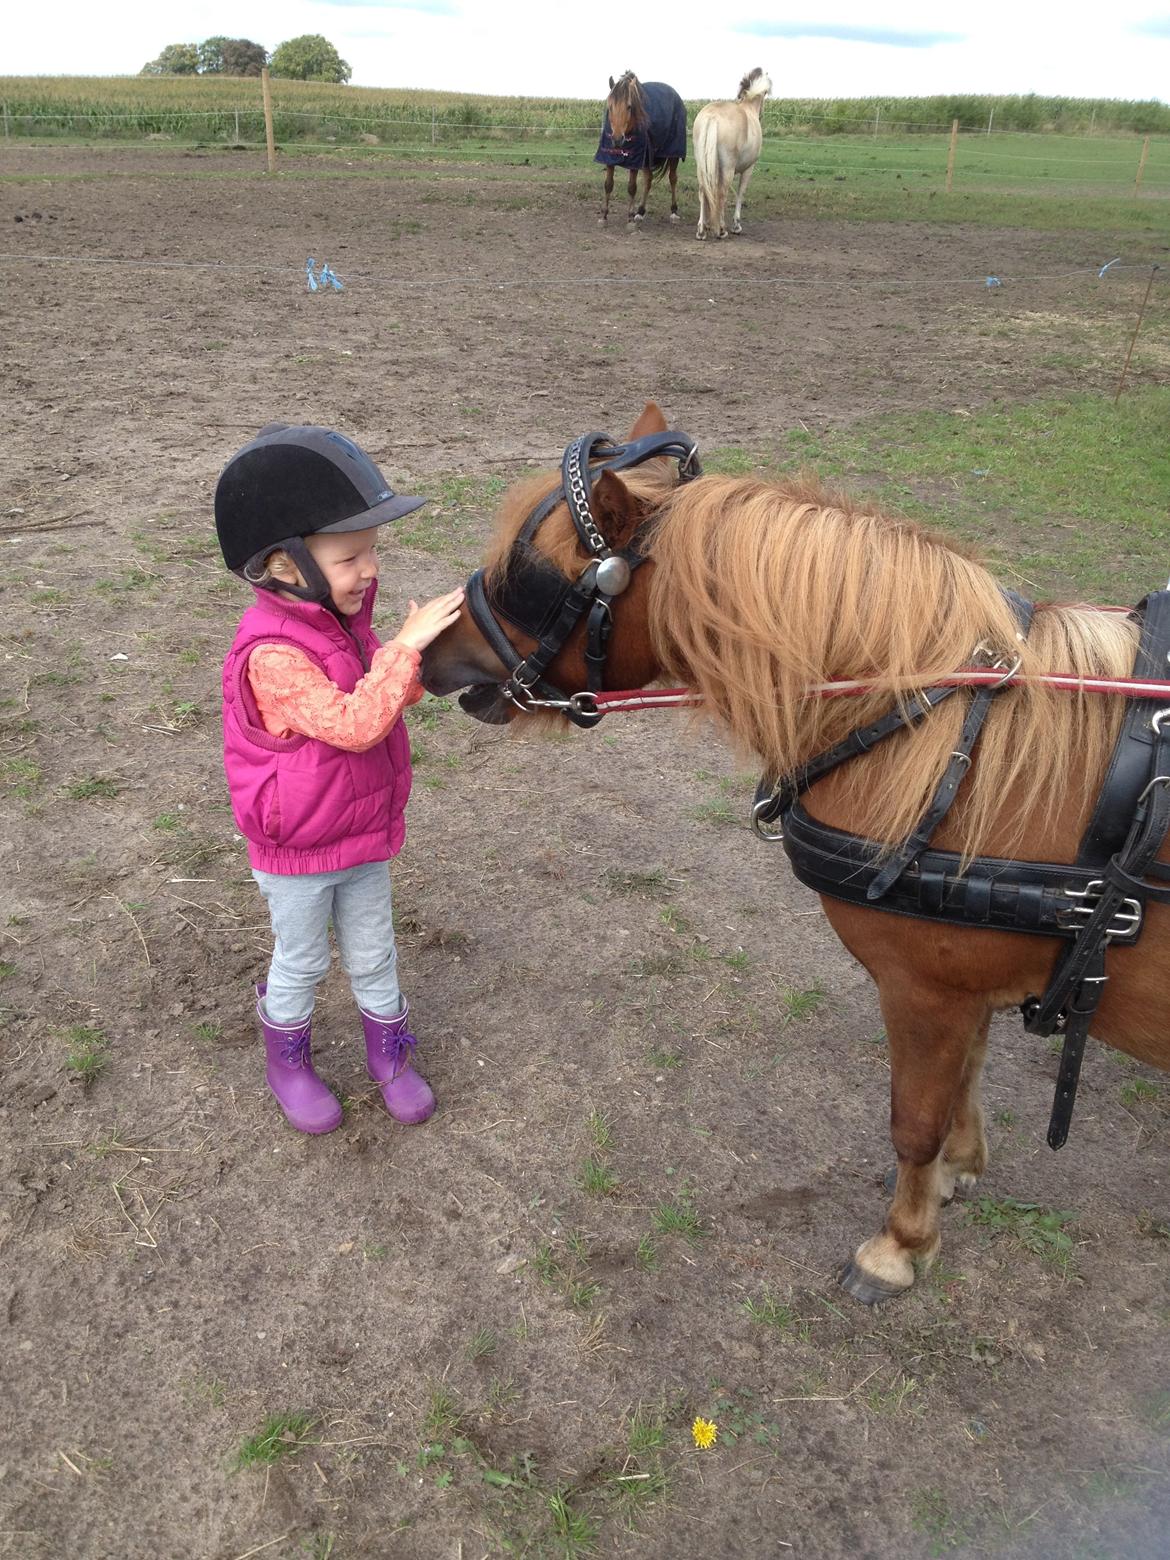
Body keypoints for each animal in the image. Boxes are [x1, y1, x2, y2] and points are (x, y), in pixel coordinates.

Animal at [421, 402, 1170, 1304]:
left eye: (519, 580)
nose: (427, 653)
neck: (936, 734)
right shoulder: (966, 988)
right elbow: (967, 1079)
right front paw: (957, 1171)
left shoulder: (924, 989)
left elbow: (914, 1120)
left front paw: (899, 1245)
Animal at [595, 72, 686, 226]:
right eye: (610, 106)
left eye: (629, 106)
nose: (617, 139)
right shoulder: (610, 158)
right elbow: (608, 184)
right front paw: (604, 216)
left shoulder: (634, 160)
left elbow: (632, 187)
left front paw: (630, 218)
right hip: (648, 158)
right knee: (648, 180)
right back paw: (641, 212)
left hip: (673, 153)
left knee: (673, 178)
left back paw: (674, 211)